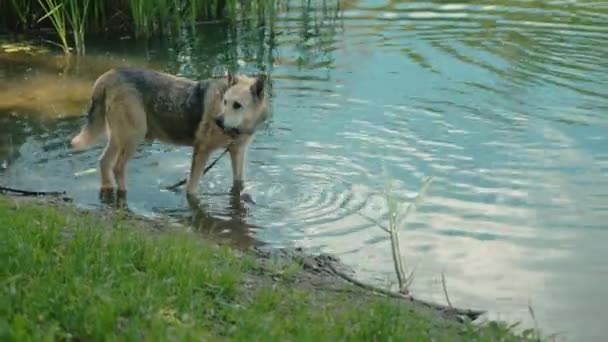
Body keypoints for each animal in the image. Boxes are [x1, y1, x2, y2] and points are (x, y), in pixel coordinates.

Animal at [69, 67, 268, 195]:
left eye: (237, 105)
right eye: (225, 102)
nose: (218, 121)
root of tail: (108, 75)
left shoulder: (238, 151)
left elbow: (239, 181)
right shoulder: (202, 150)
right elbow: (192, 188)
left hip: (119, 136)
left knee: (104, 162)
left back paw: (107, 188)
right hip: (133, 135)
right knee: (117, 167)